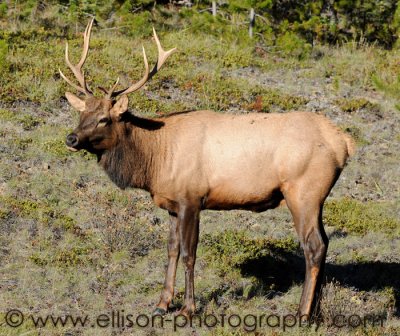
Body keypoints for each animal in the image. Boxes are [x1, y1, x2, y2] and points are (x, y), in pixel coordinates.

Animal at [59, 19, 354, 318]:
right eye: (82, 113)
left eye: (104, 119)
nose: (71, 138)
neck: (156, 159)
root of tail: (343, 142)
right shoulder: (172, 204)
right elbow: (171, 250)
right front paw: (161, 304)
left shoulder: (192, 199)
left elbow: (189, 253)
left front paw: (187, 309)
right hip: (317, 198)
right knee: (325, 242)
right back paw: (315, 311)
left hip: (303, 192)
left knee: (313, 246)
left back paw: (302, 313)